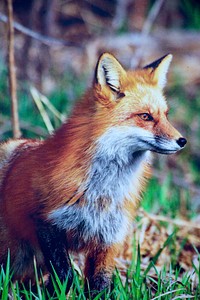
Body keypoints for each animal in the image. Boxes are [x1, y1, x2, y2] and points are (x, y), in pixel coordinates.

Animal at [0, 53, 187, 296]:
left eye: (165, 115)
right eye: (145, 116)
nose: (182, 141)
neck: (102, 192)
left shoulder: (110, 236)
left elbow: (100, 284)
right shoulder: (45, 222)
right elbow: (65, 275)